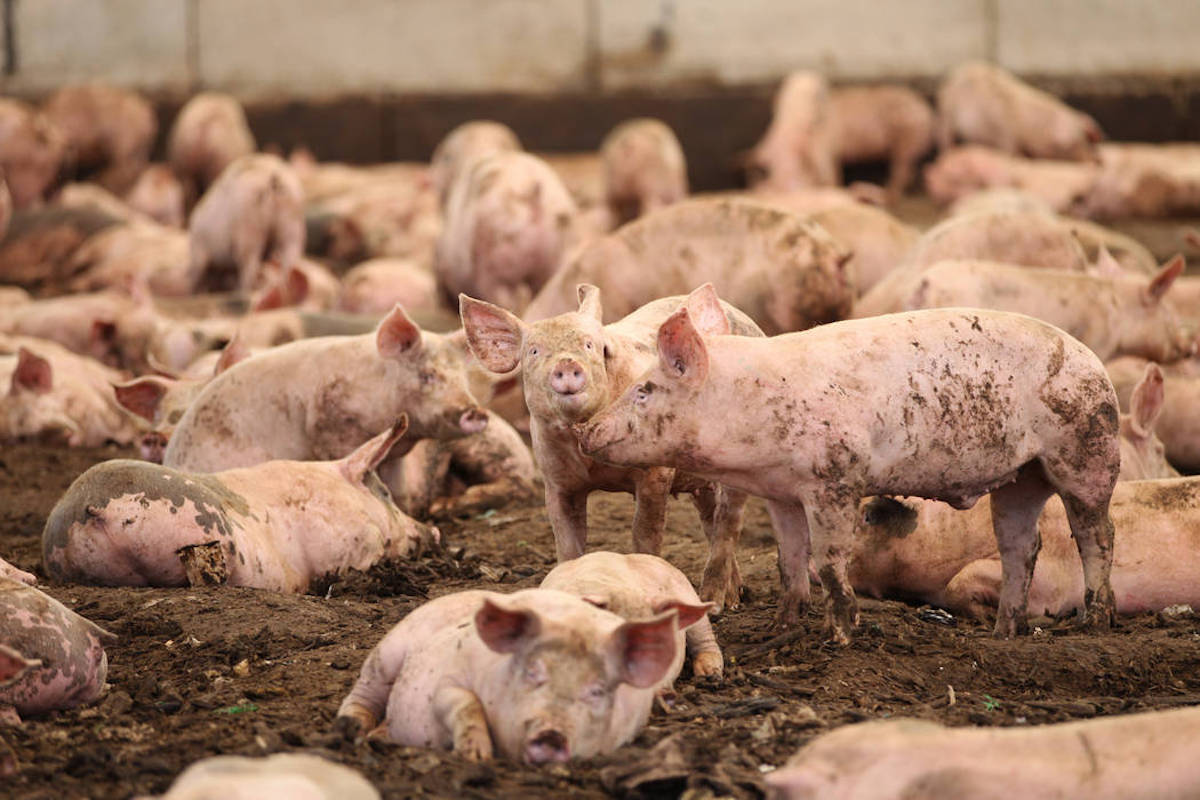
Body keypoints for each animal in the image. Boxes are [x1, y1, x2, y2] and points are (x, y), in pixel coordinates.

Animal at [187, 153, 306, 292]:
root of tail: (271, 179)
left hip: (249, 232)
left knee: (249, 268)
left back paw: (245, 290)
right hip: (292, 226)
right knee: (290, 261)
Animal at [336, 588, 691, 763]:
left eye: (597, 690)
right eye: (532, 671)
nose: (552, 732)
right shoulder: (444, 679)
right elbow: (461, 701)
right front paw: (476, 758)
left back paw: (378, 736)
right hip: (389, 651)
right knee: (363, 693)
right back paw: (352, 729)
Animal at [463, 284, 764, 609]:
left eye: (590, 346)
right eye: (534, 351)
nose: (567, 364)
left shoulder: (655, 472)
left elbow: (644, 533)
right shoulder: (555, 480)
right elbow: (567, 542)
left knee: (729, 523)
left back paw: (717, 605)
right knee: (711, 518)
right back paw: (734, 596)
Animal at [578, 305, 1122, 643]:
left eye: (644, 390)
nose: (585, 429)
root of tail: (1093, 360)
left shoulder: (834, 481)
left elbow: (830, 558)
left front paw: (838, 636)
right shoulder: (780, 493)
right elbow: (789, 559)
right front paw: (781, 628)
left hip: (1086, 453)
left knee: (1096, 533)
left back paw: (1095, 621)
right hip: (1021, 477)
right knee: (1021, 546)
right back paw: (1004, 632)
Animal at [936, 61, 1103, 161]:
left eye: (1087, 138)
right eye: (1078, 142)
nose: (1098, 161)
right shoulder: (1005, 137)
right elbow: (1013, 154)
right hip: (947, 115)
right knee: (946, 139)